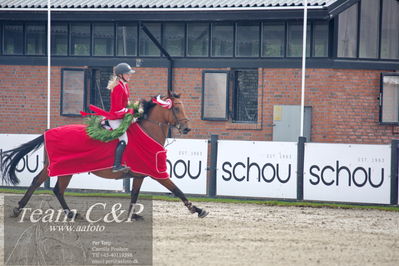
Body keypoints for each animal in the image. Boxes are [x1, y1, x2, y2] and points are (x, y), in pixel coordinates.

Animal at [0, 93, 209, 220]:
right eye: (176, 109)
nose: (187, 128)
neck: (148, 132)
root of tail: (49, 131)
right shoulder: (157, 173)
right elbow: (177, 190)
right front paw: (197, 209)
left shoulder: (140, 175)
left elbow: (134, 194)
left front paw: (131, 215)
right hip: (65, 168)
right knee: (51, 186)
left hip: (61, 168)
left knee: (47, 185)